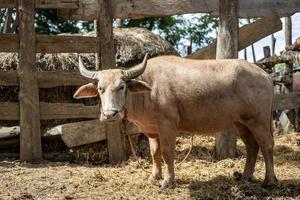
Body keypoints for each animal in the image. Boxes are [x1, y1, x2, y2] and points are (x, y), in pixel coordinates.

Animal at [74, 54, 278, 188]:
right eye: (100, 88)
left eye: (121, 86)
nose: (110, 114)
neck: (148, 91)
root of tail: (265, 75)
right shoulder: (153, 130)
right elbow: (154, 153)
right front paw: (154, 176)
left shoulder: (167, 125)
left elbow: (167, 153)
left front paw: (167, 181)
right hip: (241, 123)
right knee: (252, 146)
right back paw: (245, 176)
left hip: (259, 120)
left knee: (267, 145)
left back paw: (270, 180)